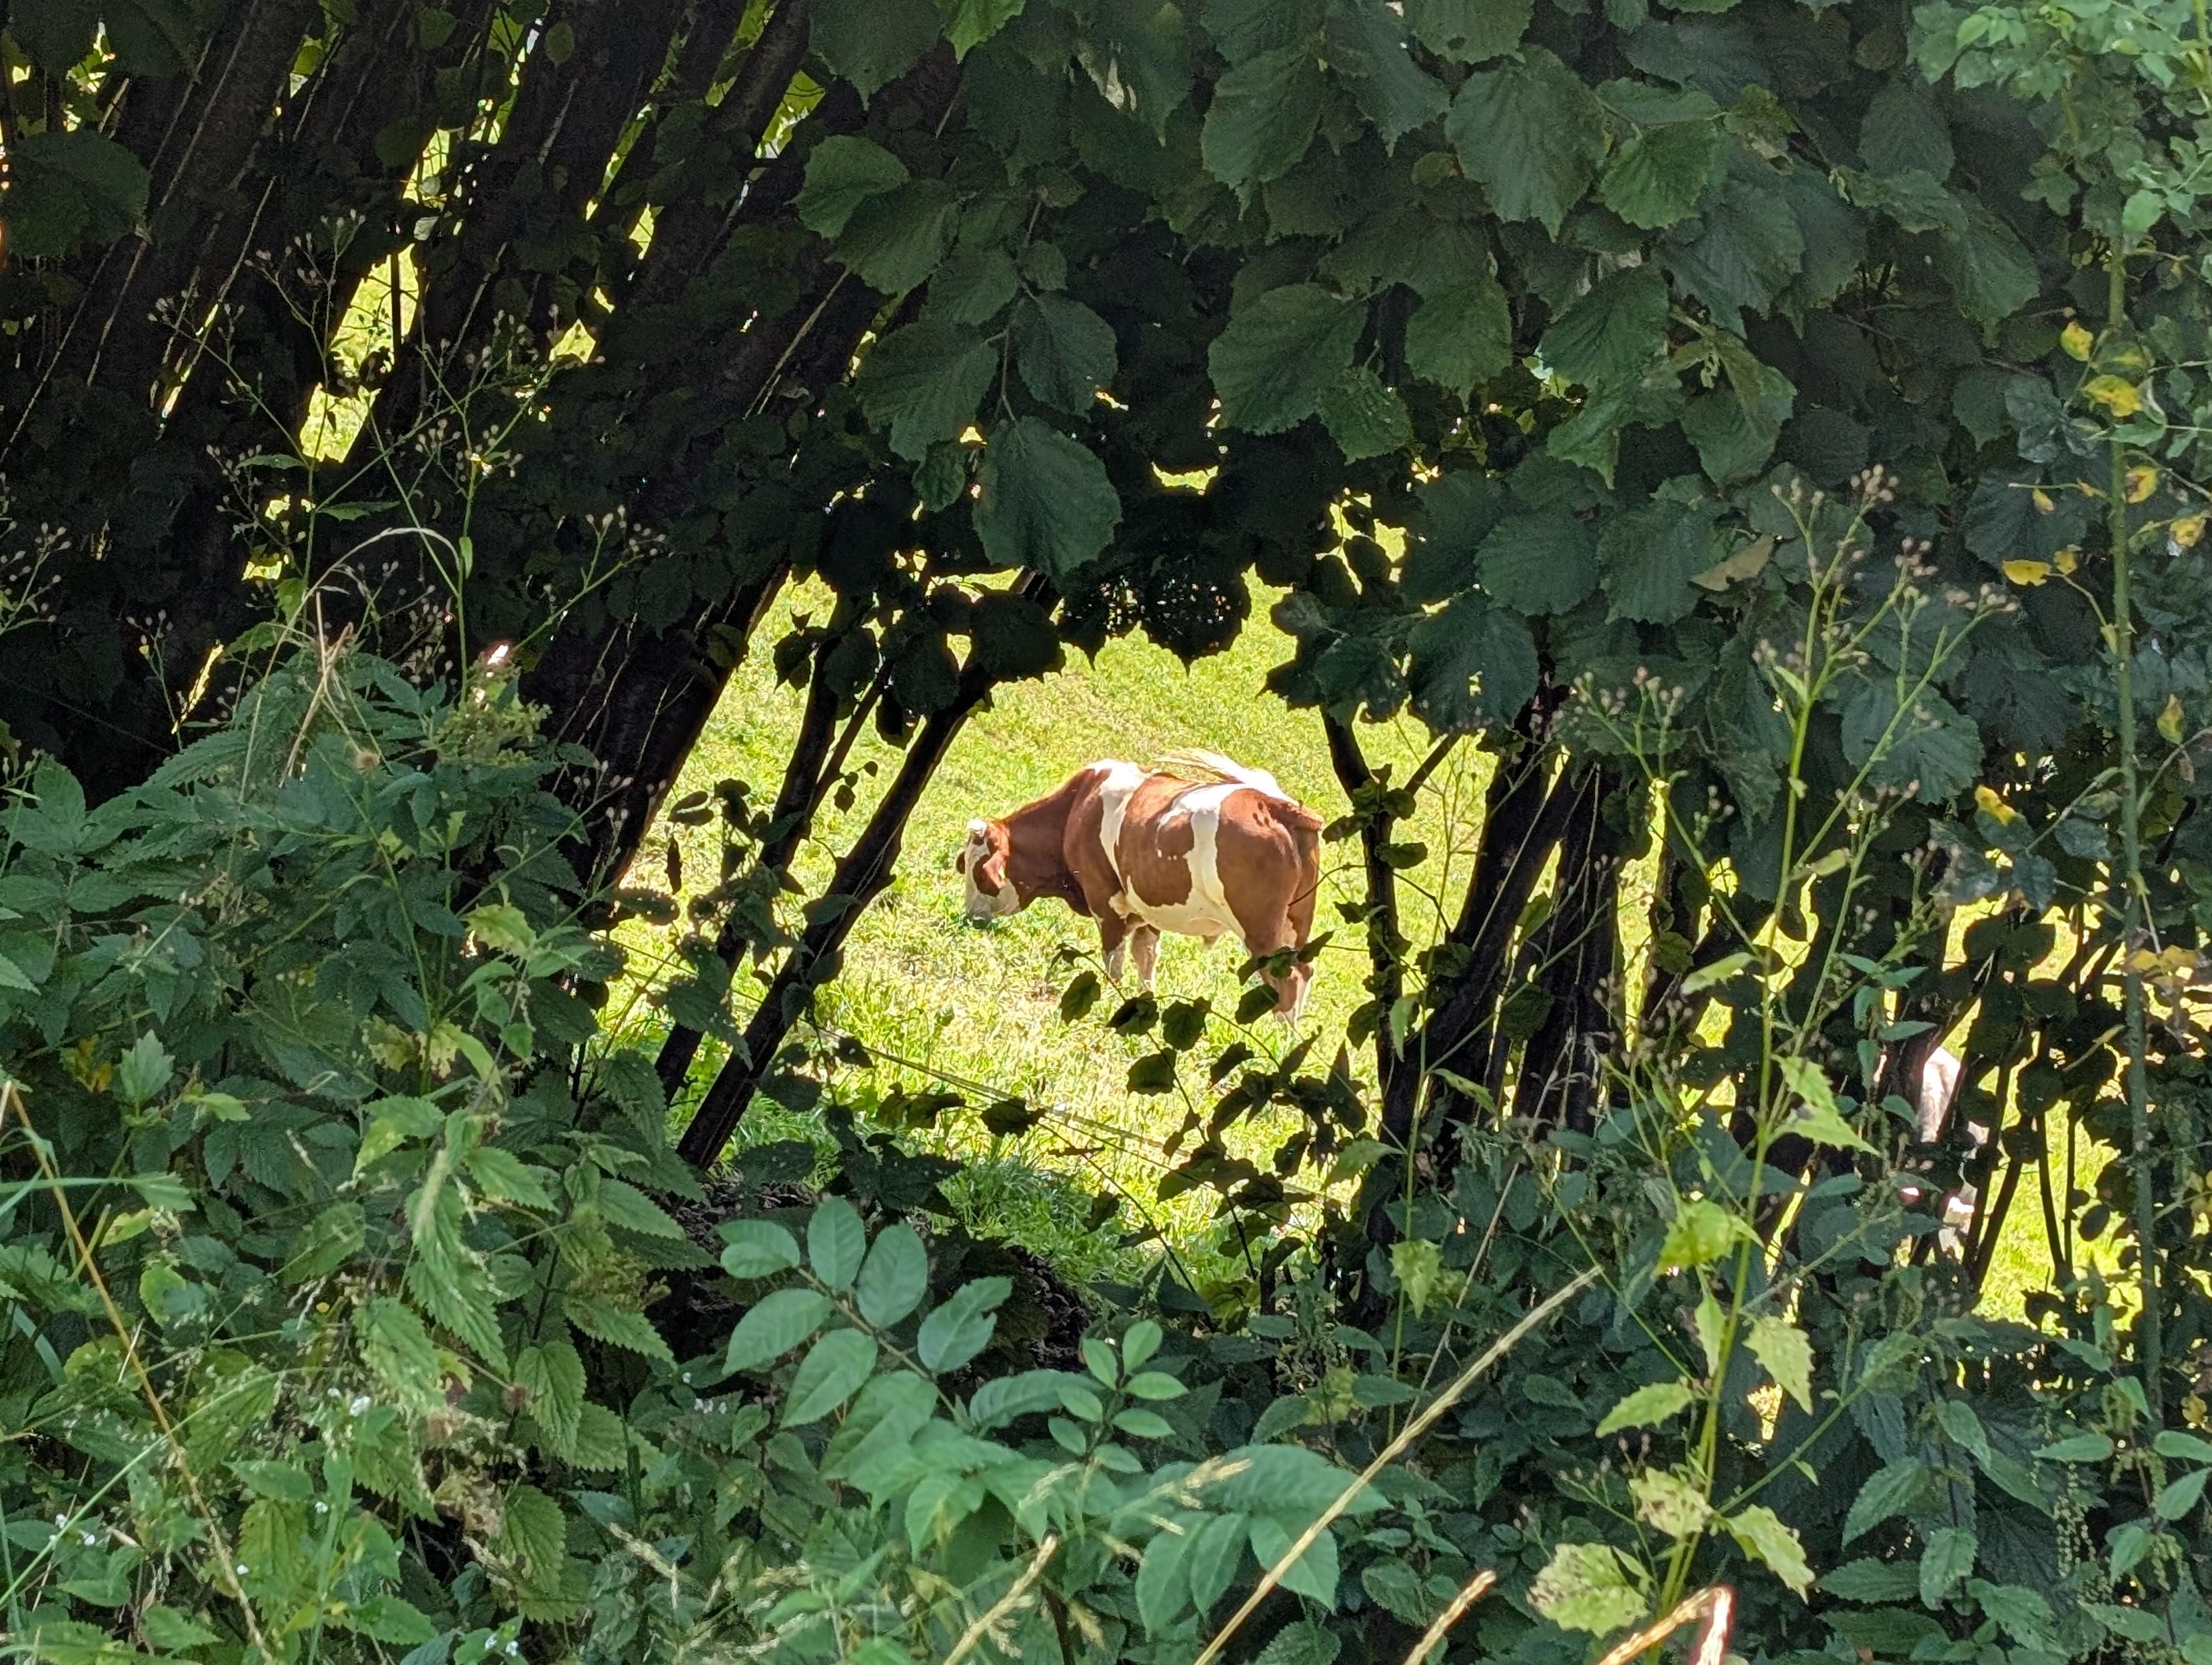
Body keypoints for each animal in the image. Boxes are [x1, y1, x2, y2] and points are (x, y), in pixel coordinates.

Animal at [957, 750, 1325, 1020]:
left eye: (979, 872)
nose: (971, 918)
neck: (1077, 807)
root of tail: (1274, 803)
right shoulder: (1145, 909)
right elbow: (1145, 956)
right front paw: (1146, 1002)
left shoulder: (1105, 901)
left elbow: (1113, 959)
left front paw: (1112, 998)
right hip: (1296, 921)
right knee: (1304, 971)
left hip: (1259, 928)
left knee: (1287, 978)